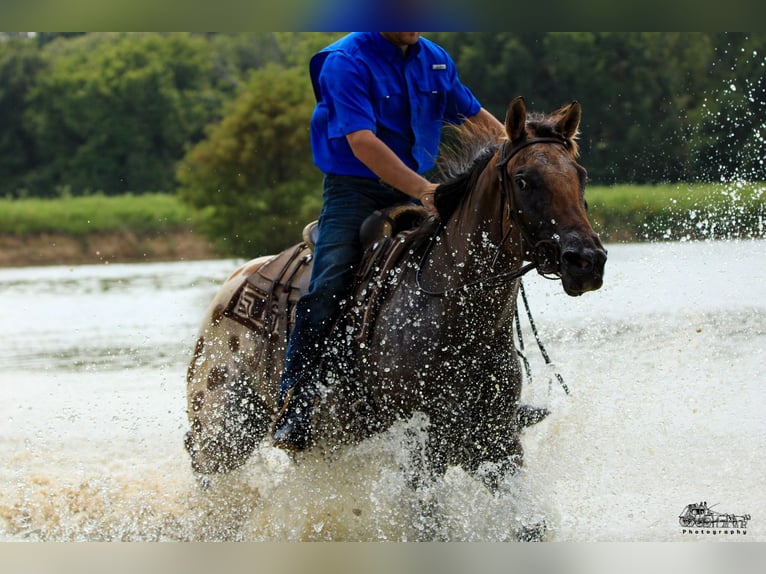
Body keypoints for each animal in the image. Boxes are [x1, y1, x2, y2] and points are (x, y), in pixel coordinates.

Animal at [184, 97, 608, 498]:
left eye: (581, 176)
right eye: (524, 180)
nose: (586, 260)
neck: (456, 318)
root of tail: (232, 288)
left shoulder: (495, 446)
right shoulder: (418, 452)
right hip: (220, 439)